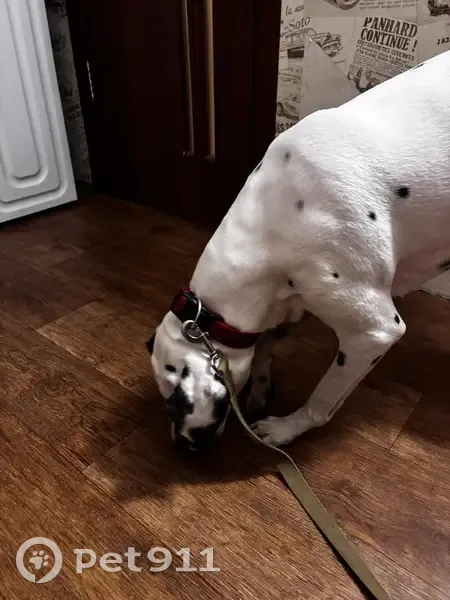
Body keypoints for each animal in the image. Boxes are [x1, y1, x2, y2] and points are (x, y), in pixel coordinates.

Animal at [147, 50, 450, 452]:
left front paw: (288, 428)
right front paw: (261, 386)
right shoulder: (290, 299)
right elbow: (265, 344)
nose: (180, 449)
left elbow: (322, 401)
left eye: (173, 405)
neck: (279, 217)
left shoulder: (373, 333)